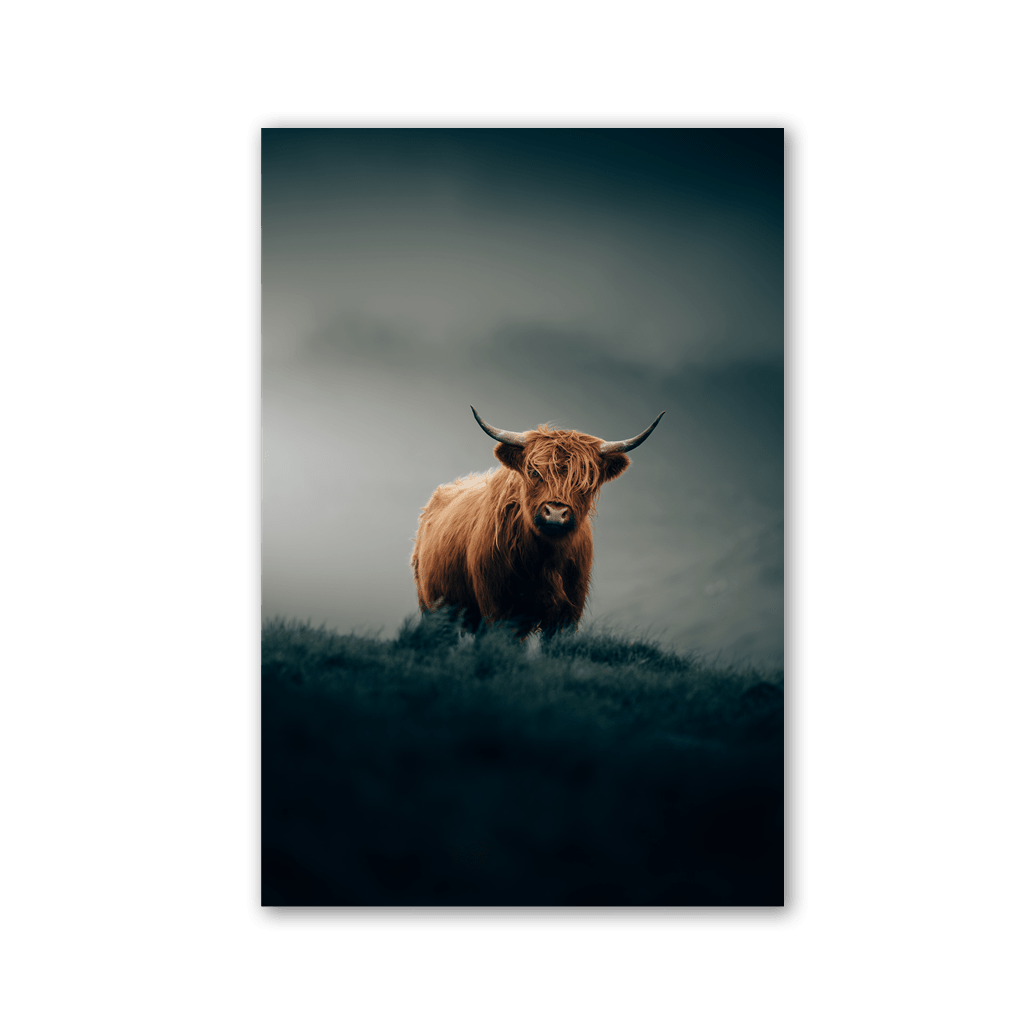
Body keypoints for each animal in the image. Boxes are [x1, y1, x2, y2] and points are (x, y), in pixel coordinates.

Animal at [411, 406, 665, 639]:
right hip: (434, 607)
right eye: (534, 472)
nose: (555, 513)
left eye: (586, 480)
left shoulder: (567, 615)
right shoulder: (499, 609)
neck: (546, 559)